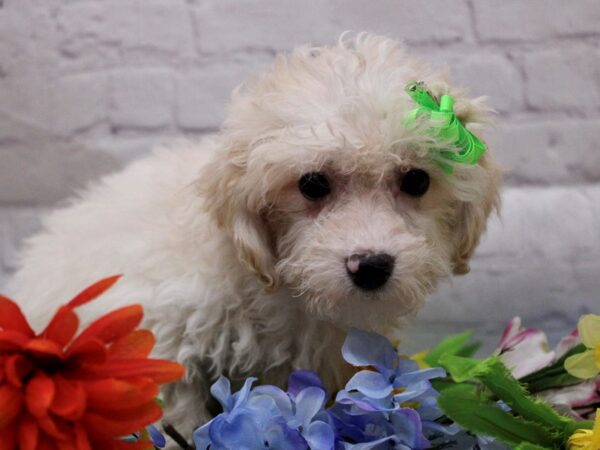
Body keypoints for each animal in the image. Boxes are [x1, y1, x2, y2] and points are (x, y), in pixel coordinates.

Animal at [8, 34, 502, 440]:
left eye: (416, 180)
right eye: (312, 184)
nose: (371, 266)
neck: (277, 287)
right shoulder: (160, 341)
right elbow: (173, 414)